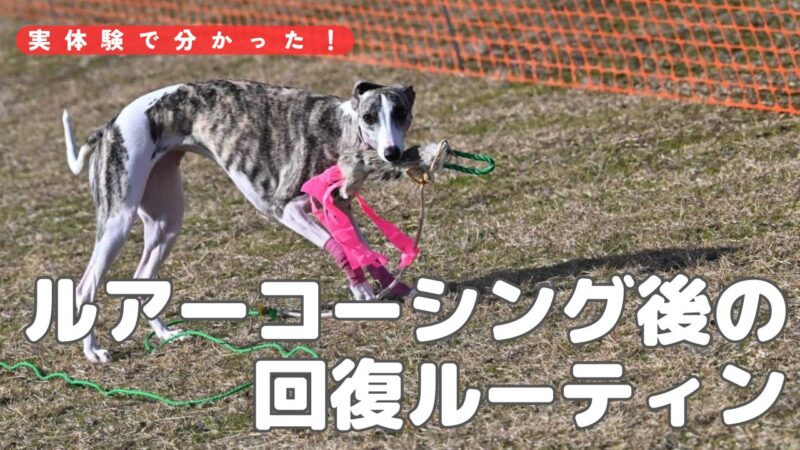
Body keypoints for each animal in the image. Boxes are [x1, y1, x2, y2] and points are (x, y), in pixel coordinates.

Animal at [62, 79, 418, 362]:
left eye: (400, 113)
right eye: (369, 117)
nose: (392, 153)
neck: (340, 129)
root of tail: (111, 125)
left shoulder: (342, 207)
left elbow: (363, 250)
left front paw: (394, 288)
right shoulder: (284, 207)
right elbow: (340, 248)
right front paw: (362, 289)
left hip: (167, 220)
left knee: (142, 278)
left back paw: (165, 334)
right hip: (118, 221)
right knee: (84, 287)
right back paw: (93, 352)